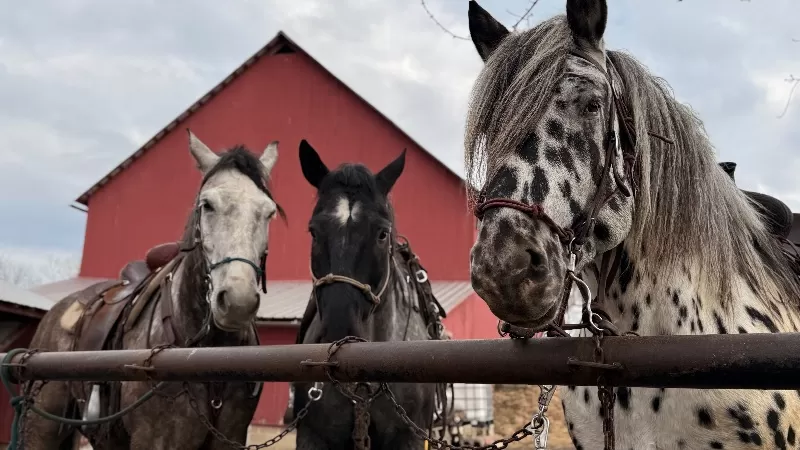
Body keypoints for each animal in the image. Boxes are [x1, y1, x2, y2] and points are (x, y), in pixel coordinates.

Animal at [21, 131, 282, 450]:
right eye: (207, 204)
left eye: (269, 212)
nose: (237, 302)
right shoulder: (155, 439)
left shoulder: (230, 437)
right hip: (41, 425)